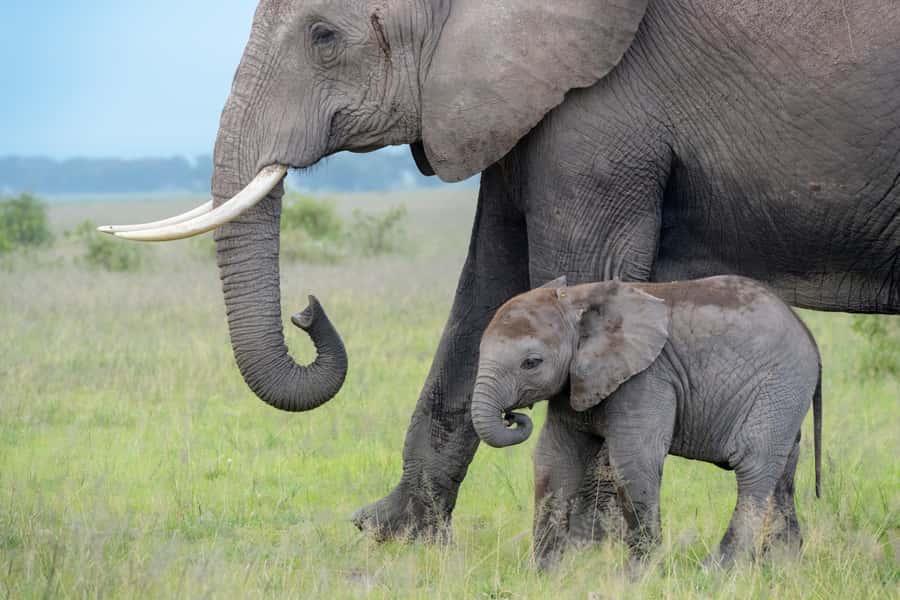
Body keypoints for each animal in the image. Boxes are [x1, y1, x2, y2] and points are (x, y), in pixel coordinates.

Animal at [471, 275, 823, 569]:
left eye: (531, 363)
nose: (512, 416)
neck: (577, 299)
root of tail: (808, 333)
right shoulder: (573, 383)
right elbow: (555, 461)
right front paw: (546, 574)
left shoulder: (647, 377)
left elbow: (633, 461)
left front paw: (640, 575)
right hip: (784, 396)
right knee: (783, 471)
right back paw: (782, 566)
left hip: (779, 385)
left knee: (754, 466)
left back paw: (716, 571)